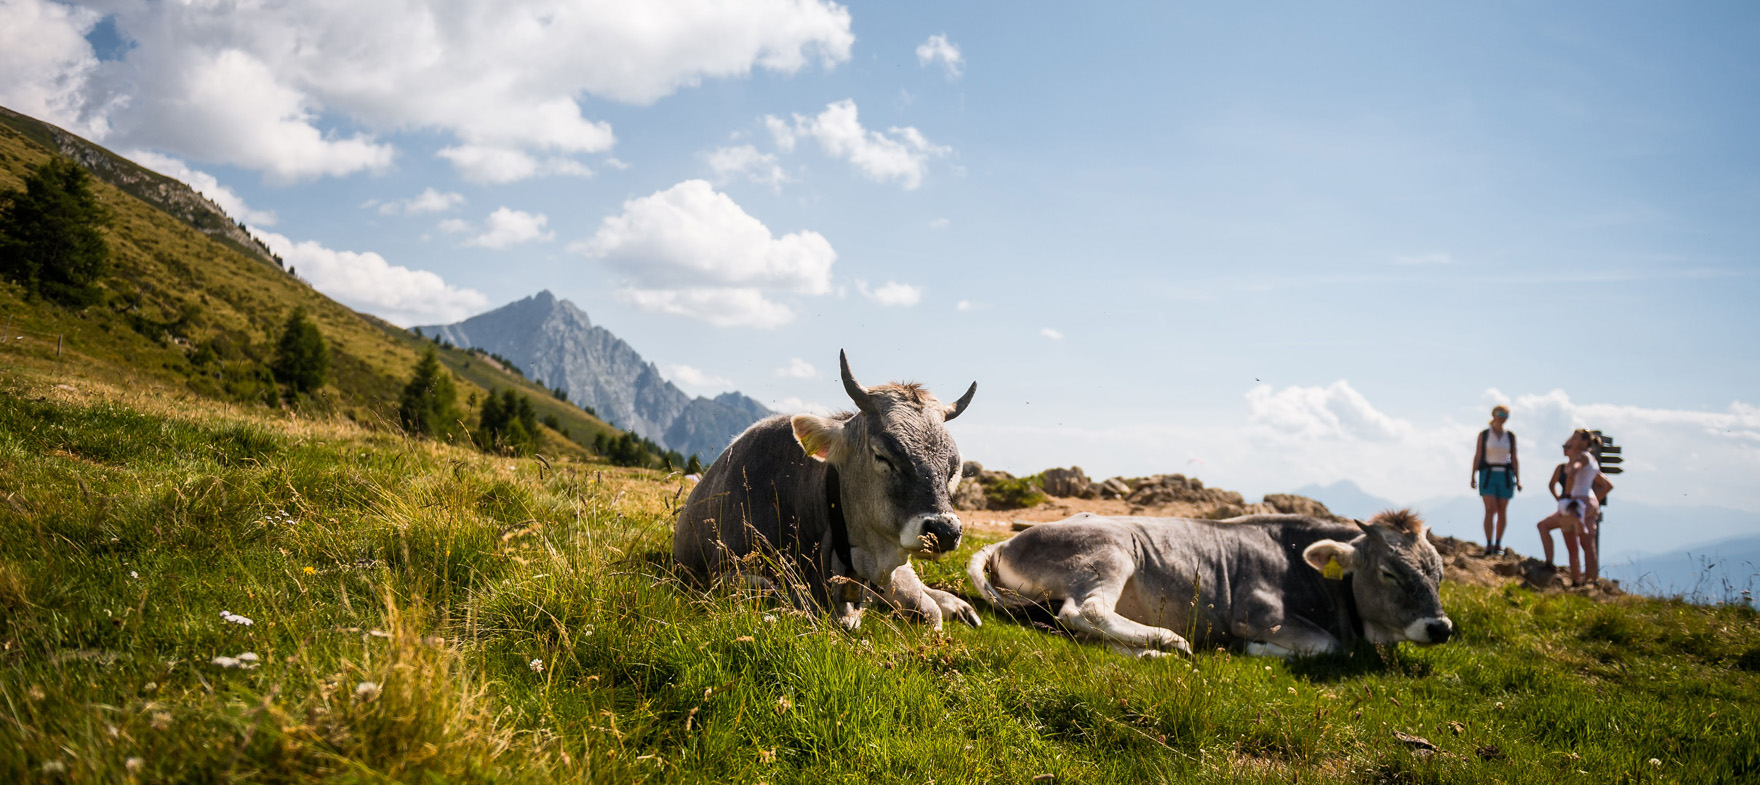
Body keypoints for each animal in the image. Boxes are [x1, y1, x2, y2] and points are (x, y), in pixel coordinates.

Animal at [672, 350, 985, 630]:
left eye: (953, 468)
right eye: (882, 455)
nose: (944, 531)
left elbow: (928, 611)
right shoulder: (725, 572)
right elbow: (781, 595)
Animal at [964, 510, 1457, 654]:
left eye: (1439, 572)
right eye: (1389, 573)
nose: (1441, 627)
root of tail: (1008, 540)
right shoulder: (1259, 614)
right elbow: (1326, 646)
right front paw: (1253, 650)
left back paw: (1152, 652)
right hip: (1113, 550)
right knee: (1085, 611)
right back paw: (1170, 640)